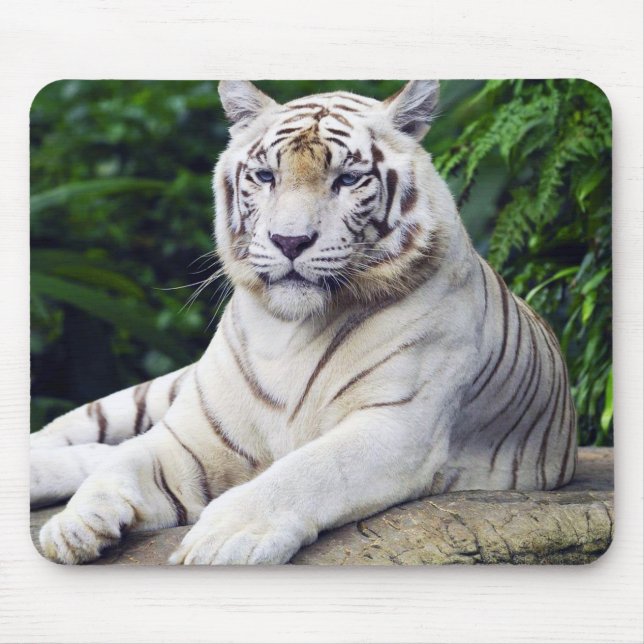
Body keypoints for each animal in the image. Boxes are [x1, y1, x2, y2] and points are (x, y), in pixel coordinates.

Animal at [31, 80, 577, 565]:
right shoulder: (191, 436)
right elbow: (126, 462)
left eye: (348, 180)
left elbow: (308, 470)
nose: (289, 241)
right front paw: (74, 525)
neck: (287, 332)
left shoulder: (397, 426)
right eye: (265, 176)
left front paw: (223, 538)